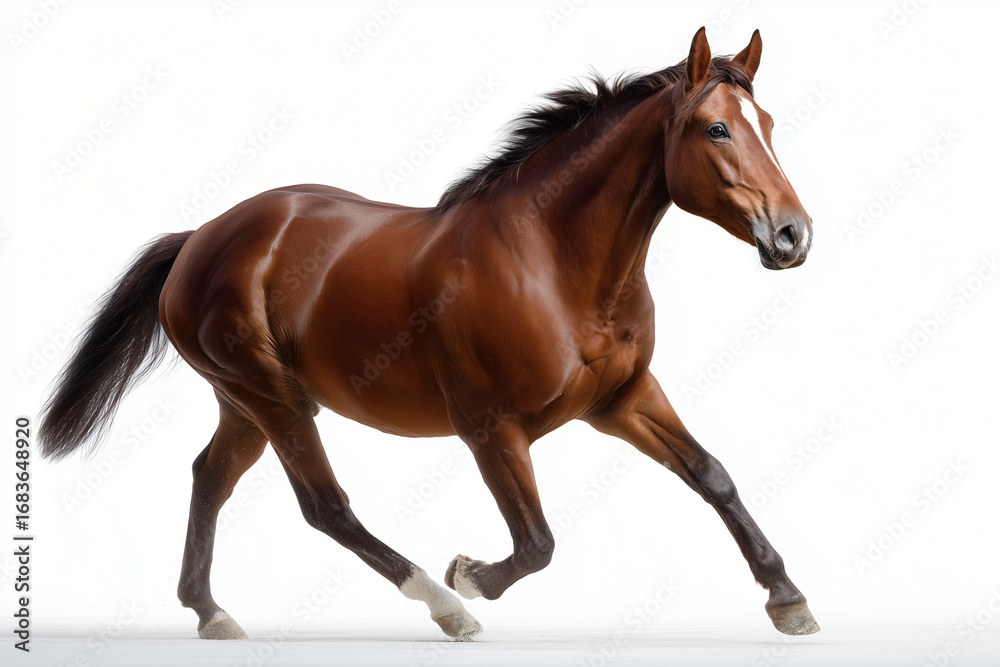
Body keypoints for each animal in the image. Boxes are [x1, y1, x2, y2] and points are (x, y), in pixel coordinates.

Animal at [39, 27, 818, 640]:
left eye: (769, 122)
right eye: (716, 129)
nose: (793, 235)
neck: (553, 262)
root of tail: (200, 236)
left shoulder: (621, 399)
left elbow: (713, 475)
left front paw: (789, 600)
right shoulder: (490, 428)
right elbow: (537, 543)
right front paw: (469, 575)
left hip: (248, 403)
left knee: (210, 476)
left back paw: (211, 613)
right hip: (272, 398)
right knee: (325, 507)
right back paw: (445, 606)